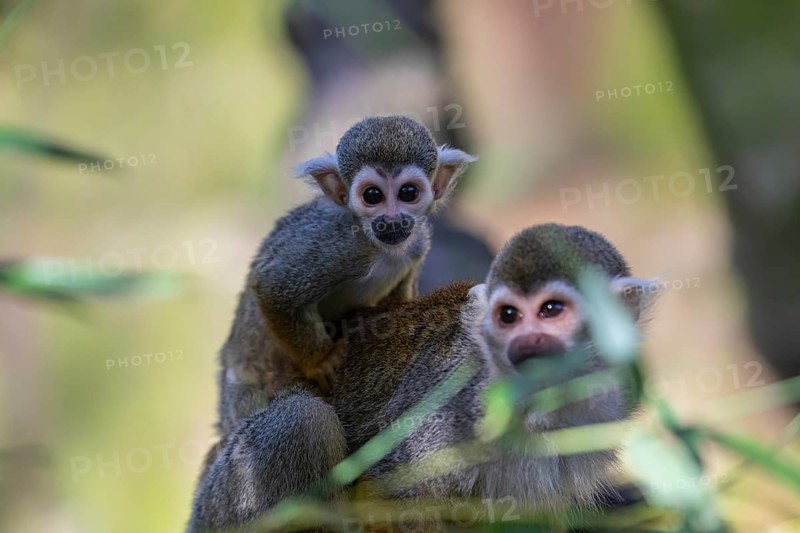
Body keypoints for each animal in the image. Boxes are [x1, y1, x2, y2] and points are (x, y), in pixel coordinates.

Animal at [186, 116, 476, 532]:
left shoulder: (418, 241)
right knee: (300, 421)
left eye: (408, 192)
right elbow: (274, 286)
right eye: (372, 196)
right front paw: (323, 361)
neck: (379, 245)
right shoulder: (341, 243)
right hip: (241, 404)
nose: (391, 220)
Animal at [187, 224, 657, 532]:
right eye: (508, 316)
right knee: (303, 421)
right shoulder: (457, 406)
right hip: (224, 502)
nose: (526, 346)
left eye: (552, 311)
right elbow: (388, 497)